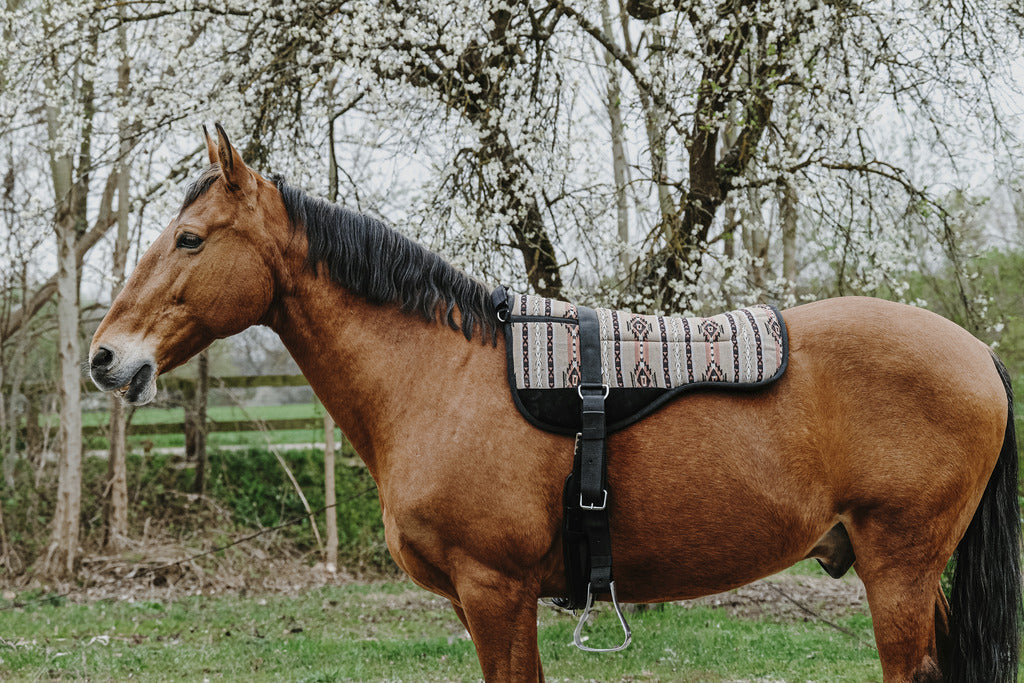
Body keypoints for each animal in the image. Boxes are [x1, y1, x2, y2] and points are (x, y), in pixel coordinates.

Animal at [90, 125, 1024, 679]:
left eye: (189, 239)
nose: (107, 357)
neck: (441, 375)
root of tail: (978, 353)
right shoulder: (493, 598)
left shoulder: (493, 590)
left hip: (900, 568)